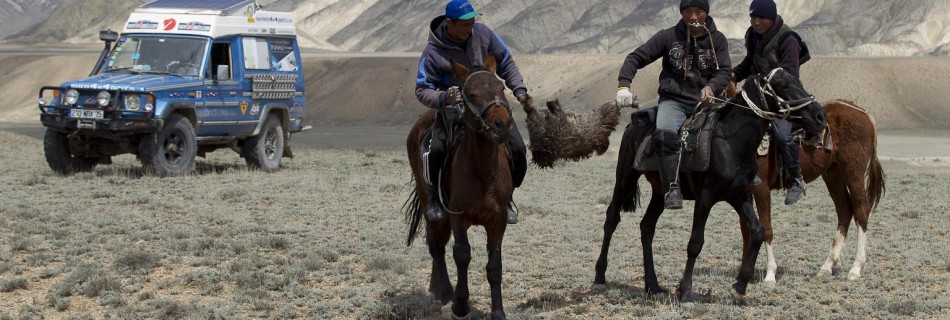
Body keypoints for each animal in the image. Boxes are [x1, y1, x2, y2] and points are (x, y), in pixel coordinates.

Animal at [406, 56, 516, 318]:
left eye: (501, 88)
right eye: (472, 94)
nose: (502, 125)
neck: (482, 171)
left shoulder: (498, 220)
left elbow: (494, 265)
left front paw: (498, 312)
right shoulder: (458, 217)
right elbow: (462, 255)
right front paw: (460, 304)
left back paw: (436, 288)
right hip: (430, 205)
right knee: (436, 245)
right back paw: (445, 292)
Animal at [600, 69, 828, 302]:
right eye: (782, 85)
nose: (820, 116)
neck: (729, 142)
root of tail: (632, 124)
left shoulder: (739, 195)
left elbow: (757, 231)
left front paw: (740, 285)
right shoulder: (705, 198)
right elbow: (695, 243)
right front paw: (685, 290)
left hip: (659, 191)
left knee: (647, 227)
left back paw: (652, 285)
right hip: (625, 176)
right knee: (612, 218)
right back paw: (600, 276)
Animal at [748, 99, 888, 282]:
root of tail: (864, 114)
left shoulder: (761, 188)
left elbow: (766, 229)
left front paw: (770, 275)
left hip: (853, 172)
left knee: (861, 210)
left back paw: (856, 268)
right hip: (833, 174)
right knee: (845, 211)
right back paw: (827, 266)